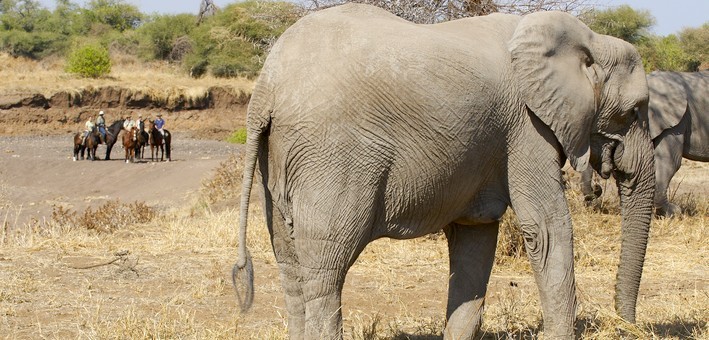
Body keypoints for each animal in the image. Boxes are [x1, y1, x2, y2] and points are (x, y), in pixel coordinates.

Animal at [232, 3, 652, 338]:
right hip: (333, 154)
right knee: (327, 266)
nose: (628, 324)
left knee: (290, 265)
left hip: (280, 156)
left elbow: (475, 237)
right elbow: (547, 228)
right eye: (634, 111)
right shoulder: (526, 128)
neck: (589, 39)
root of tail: (266, 87)